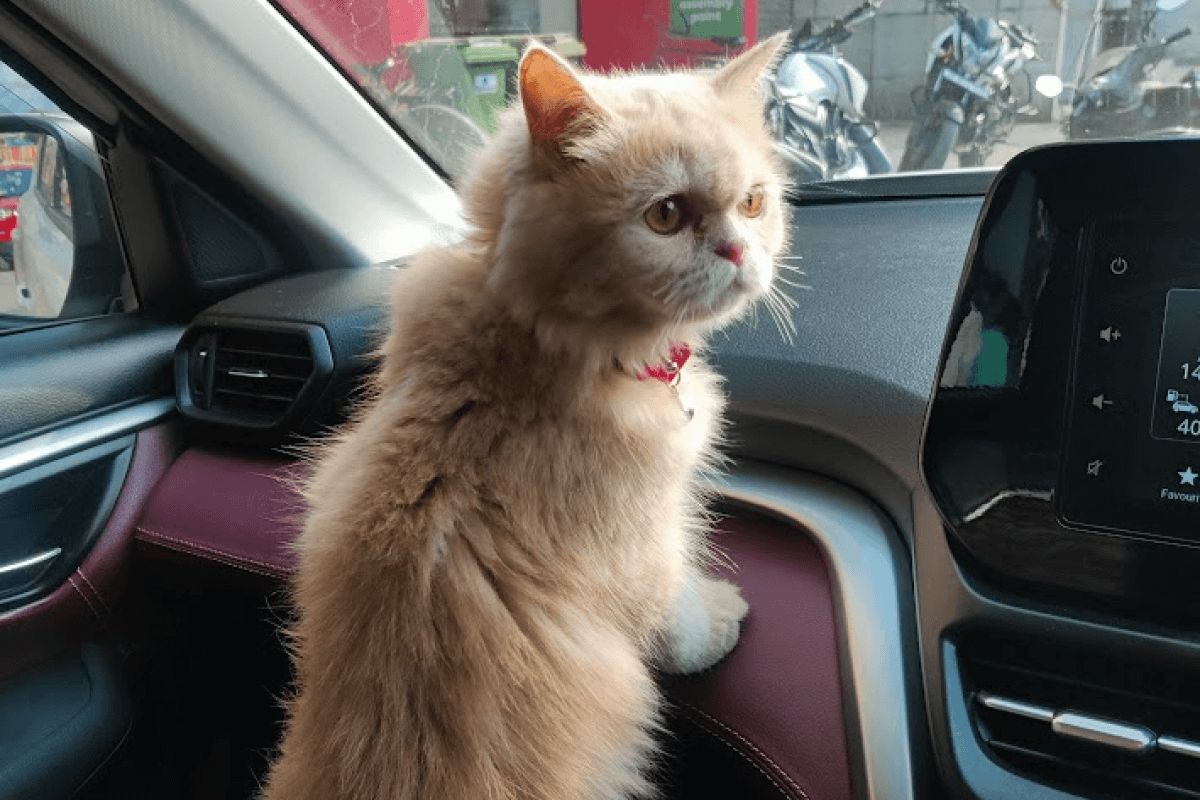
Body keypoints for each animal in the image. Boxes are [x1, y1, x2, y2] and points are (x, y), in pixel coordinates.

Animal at [262, 34, 787, 800]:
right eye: (665, 215)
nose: (741, 252)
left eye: (753, 204)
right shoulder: (646, 545)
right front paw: (722, 618)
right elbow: (682, 617)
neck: (537, 337)